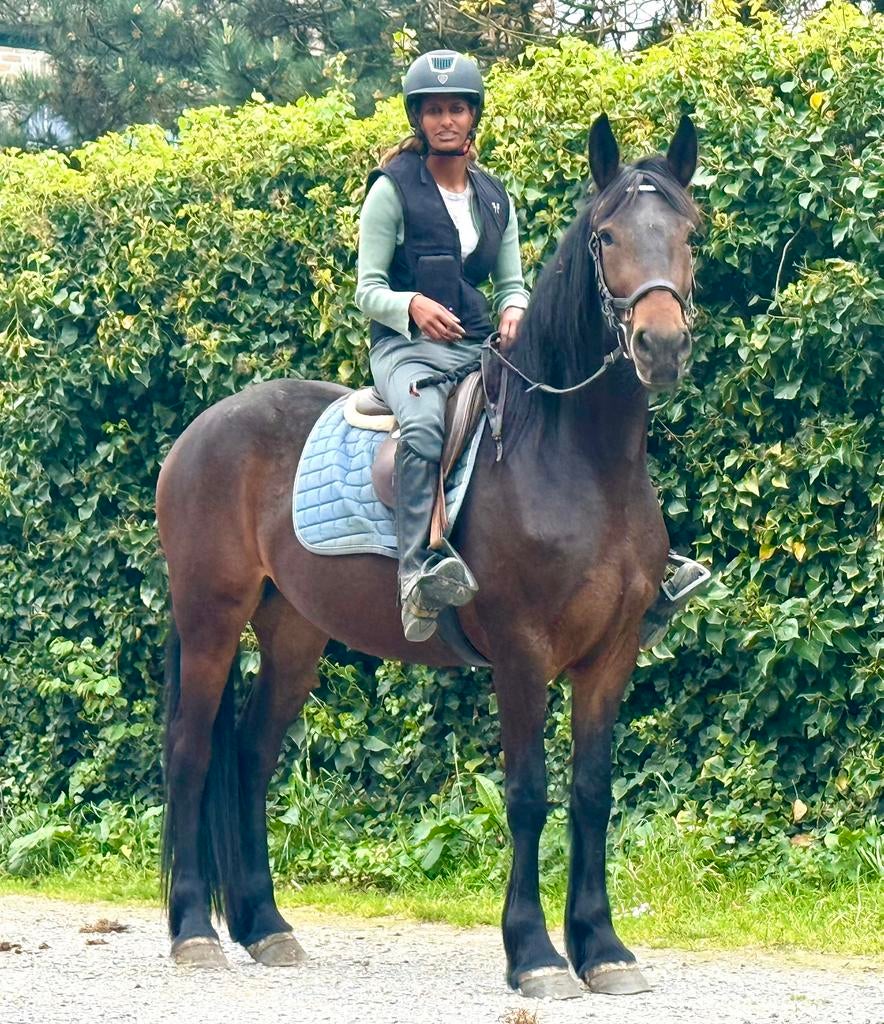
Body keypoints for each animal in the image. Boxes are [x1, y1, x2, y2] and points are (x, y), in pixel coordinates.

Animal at [157, 112, 701, 998]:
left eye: (689, 232)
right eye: (606, 236)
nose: (660, 346)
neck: (577, 459)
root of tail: (201, 429)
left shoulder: (611, 655)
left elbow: (591, 792)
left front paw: (603, 949)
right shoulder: (521, 653)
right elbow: (528, 794)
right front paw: (535, 955)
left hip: (295, 633)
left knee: (250, 754)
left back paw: (265, 926)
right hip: (210, 619)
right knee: (192, 751)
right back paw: (193, 931)